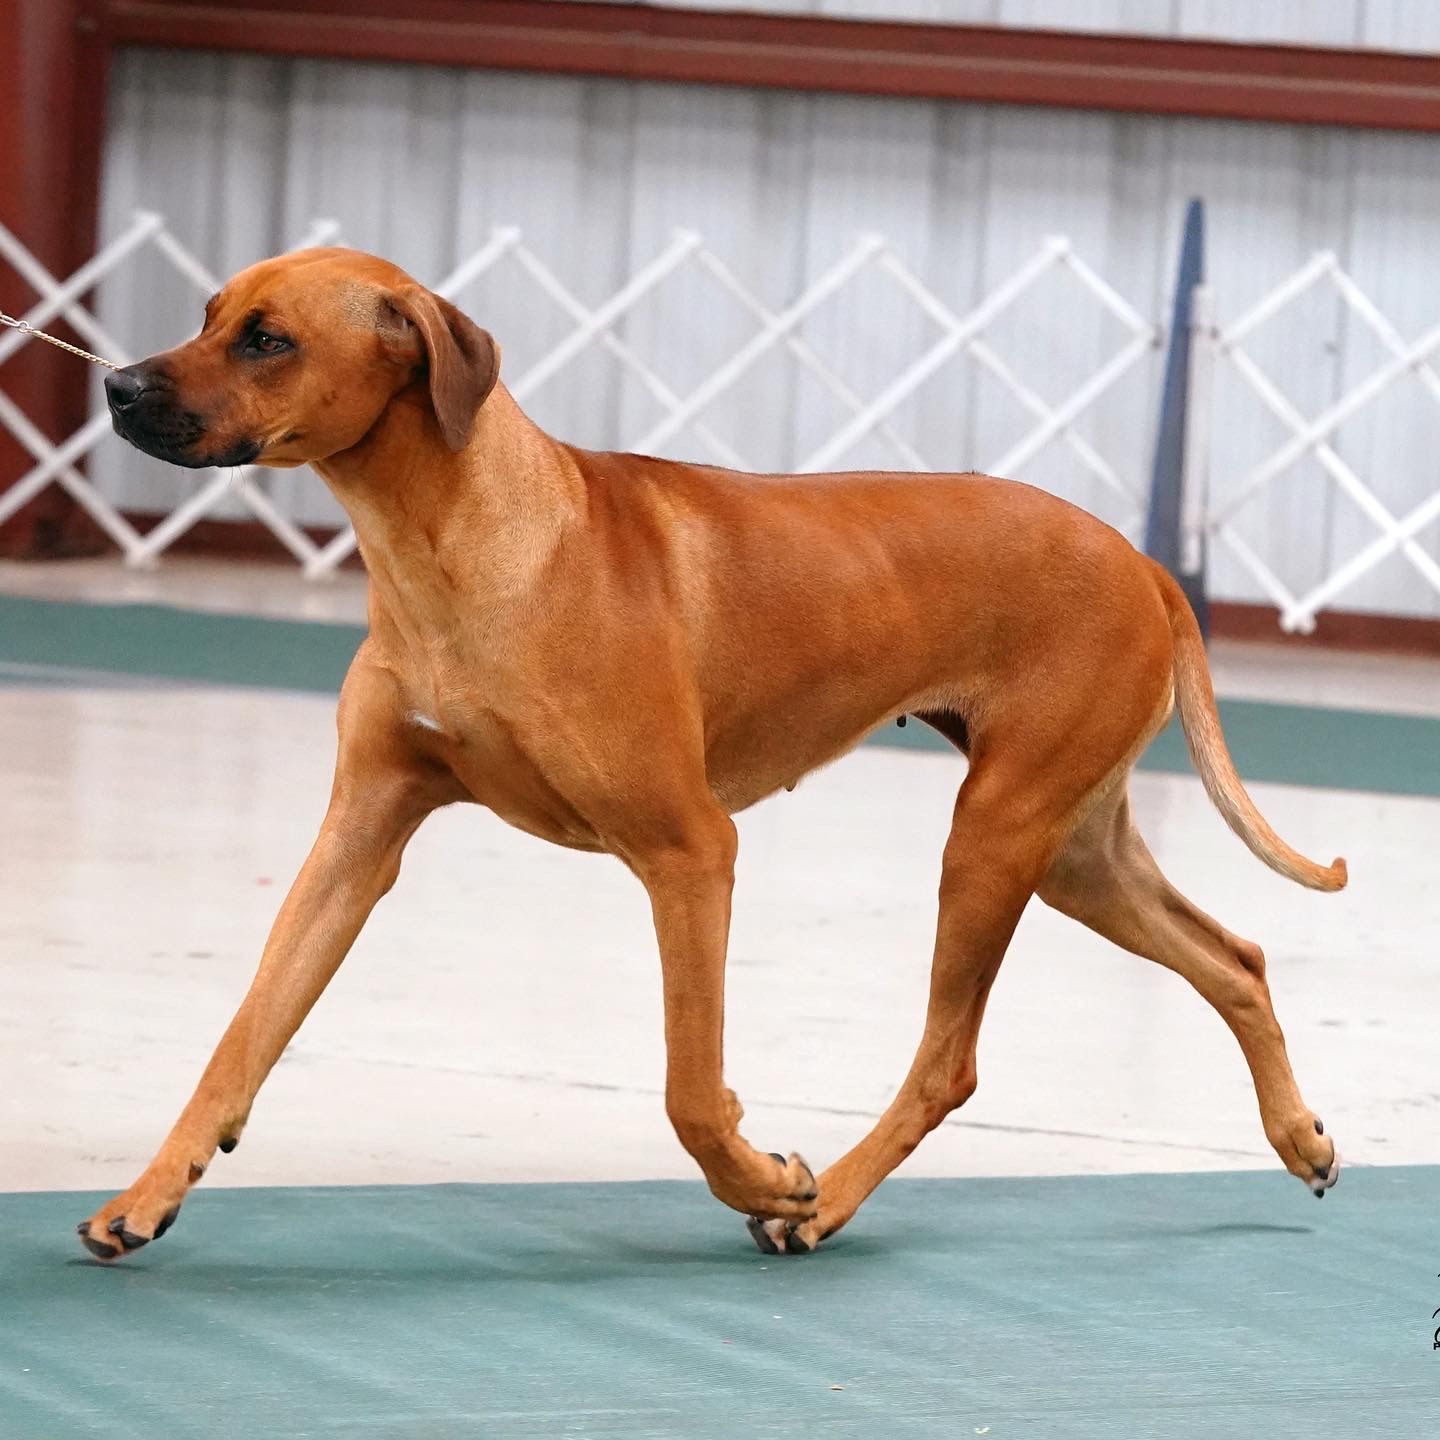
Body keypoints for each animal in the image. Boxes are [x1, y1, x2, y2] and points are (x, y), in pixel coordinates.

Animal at [75, 247, 1336, 1261]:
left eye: (268, 338)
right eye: (206, 312)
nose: (117, 386)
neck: (459, 548)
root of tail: (1143, 561)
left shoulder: (689, 852)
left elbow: (689, 1088)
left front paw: (767, 1176)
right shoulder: (357, 838)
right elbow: (244, 1033)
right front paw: (146, 1195)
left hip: (995, 836)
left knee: (951, 1061)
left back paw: (826, 1206)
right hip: (1072, 848)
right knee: (1235, 958)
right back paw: (1299, 1135)